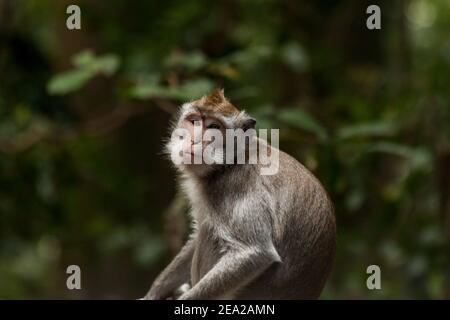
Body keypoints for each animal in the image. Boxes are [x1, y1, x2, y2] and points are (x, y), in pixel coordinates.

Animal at [142, 88, 336, 300]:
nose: (194, 140)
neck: (228, 163)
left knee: (210, 233)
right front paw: (154, 292)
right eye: (194, 121)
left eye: (213, 127)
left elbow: (254, 252)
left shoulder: (237, 184)